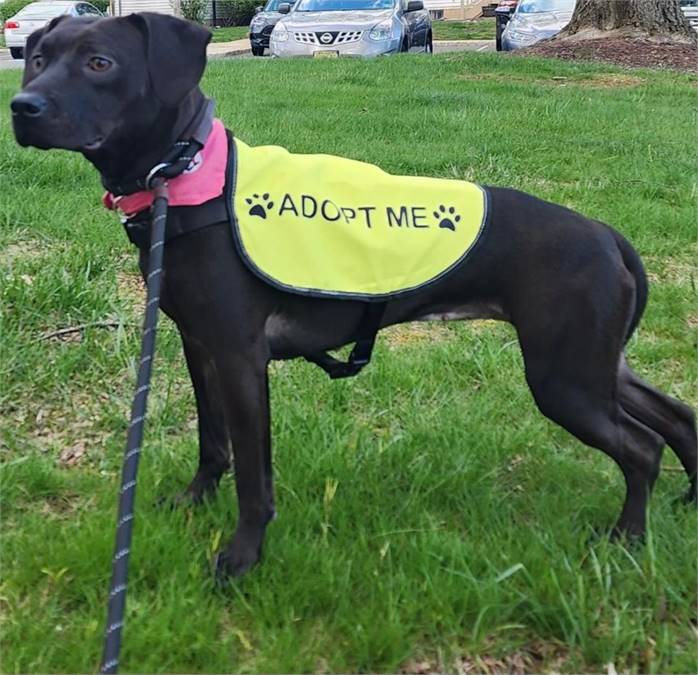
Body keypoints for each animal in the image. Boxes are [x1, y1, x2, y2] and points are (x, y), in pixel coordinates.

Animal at [13, 13, 692, 580]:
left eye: (100, 62)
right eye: (38, 58)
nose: (22, 106)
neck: (187, 178)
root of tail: (605, 234)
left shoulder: (239, 357)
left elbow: (254, 478)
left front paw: (241, 557)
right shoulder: (197, 345)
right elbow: (213, 442)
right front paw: (194, 500)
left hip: (565, 378)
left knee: (643, 448)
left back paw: (628, 539)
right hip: (597, 364)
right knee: (677, 417)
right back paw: (686, 500)